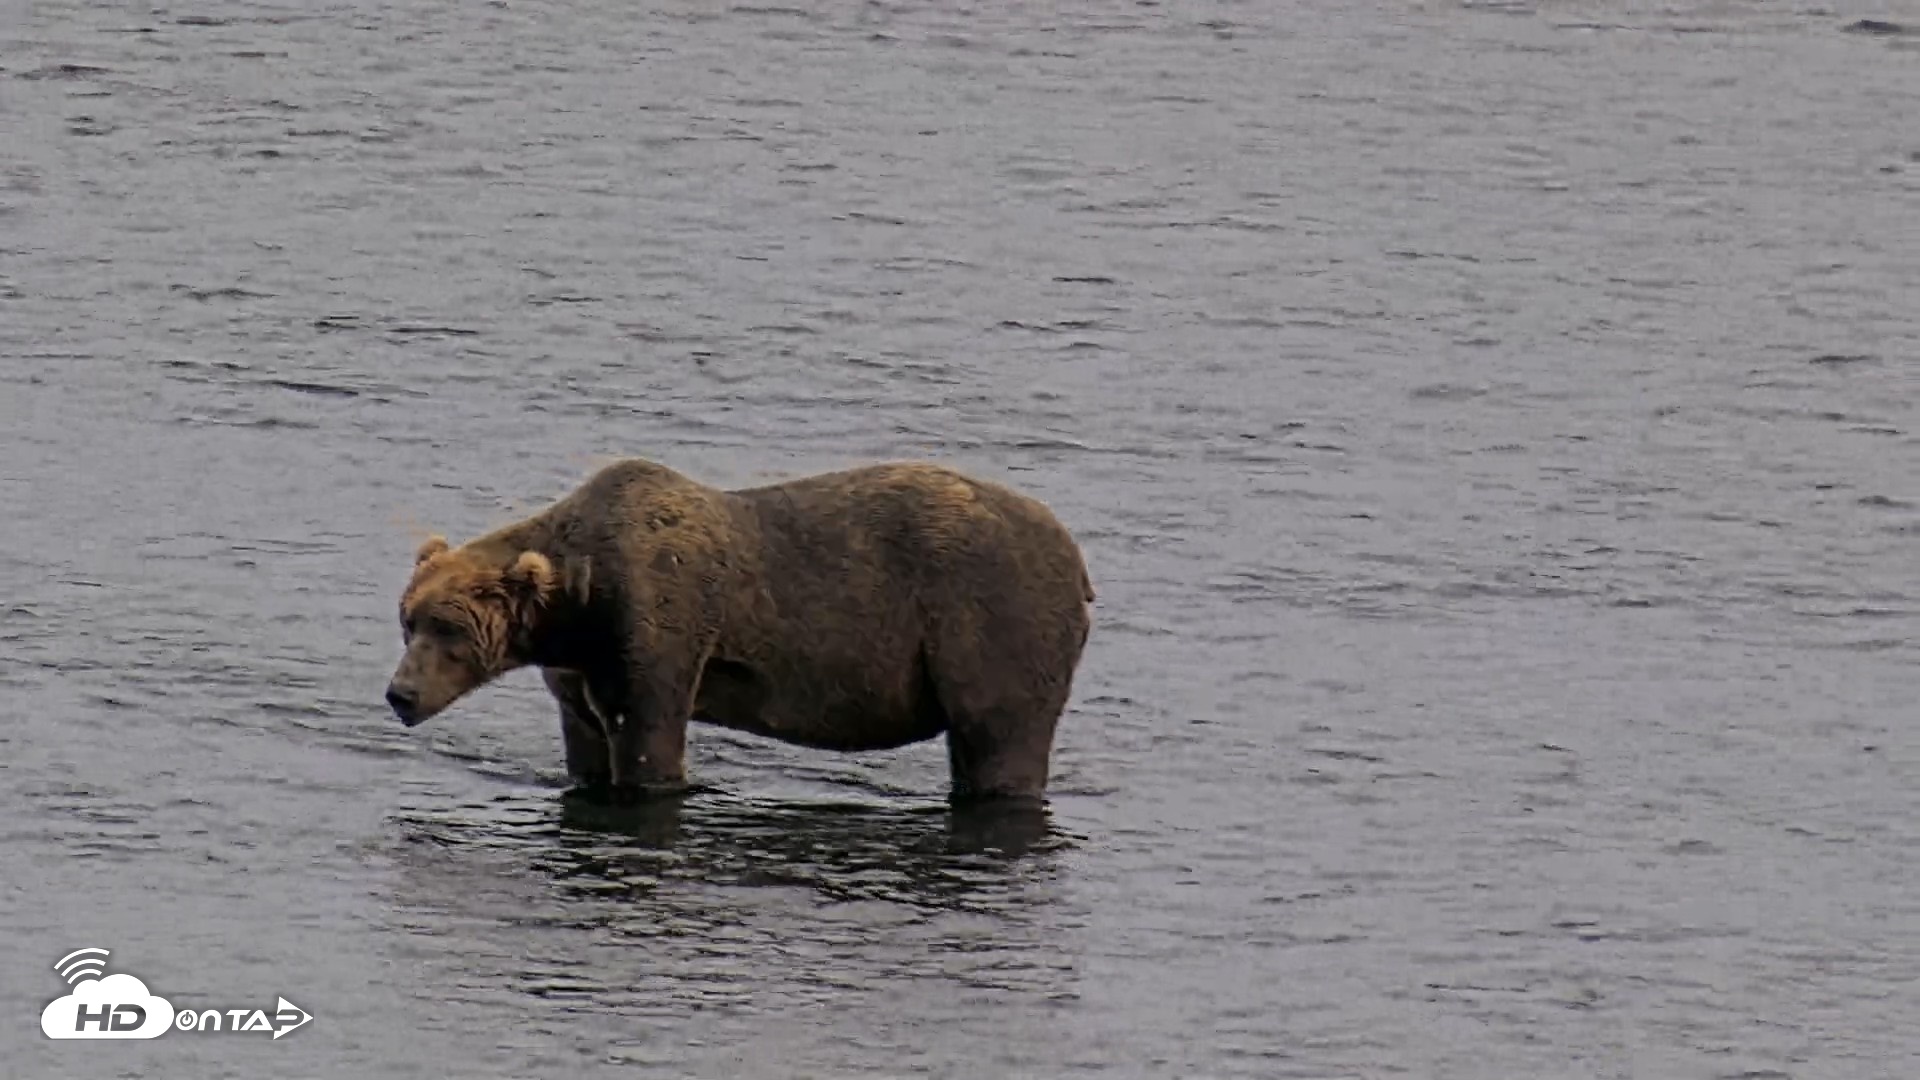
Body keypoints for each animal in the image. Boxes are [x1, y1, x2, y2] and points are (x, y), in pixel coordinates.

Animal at [383, 457, 1095, 806]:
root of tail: (1077, 557)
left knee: (1001, 738)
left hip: (990, 620)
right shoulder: (577, 663)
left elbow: (649, 738)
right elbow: (584, 740)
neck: (578, 607)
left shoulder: (656, 620)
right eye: (408, 620)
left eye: (447, 627)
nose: (400, 694)